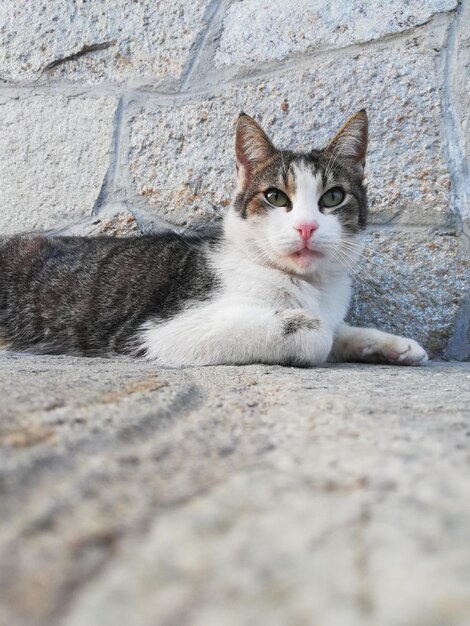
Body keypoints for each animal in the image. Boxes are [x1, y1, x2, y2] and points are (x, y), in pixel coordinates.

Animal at [0, 111, 428, 366]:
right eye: (276, 197)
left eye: (333, 197)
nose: (306, 226)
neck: (307, 285)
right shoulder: (158, 331)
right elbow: (315, 330)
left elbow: (339, 328)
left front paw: (395, 345)